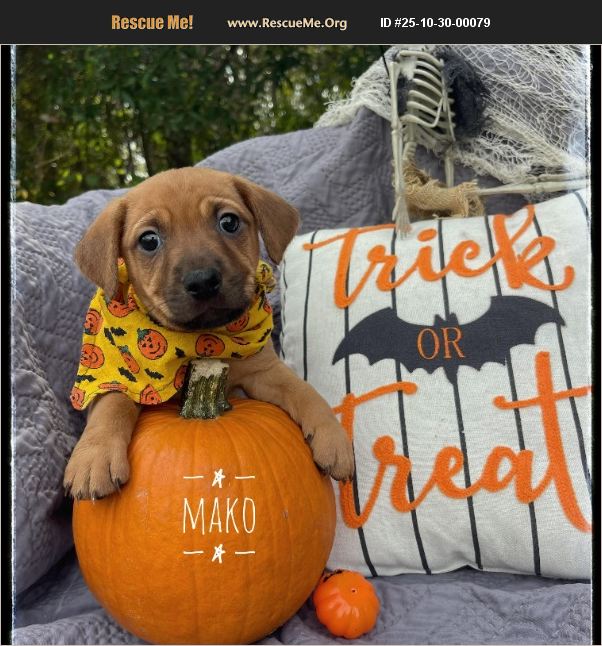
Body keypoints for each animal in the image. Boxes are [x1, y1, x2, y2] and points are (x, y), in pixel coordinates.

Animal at [64, 167, 355, 499]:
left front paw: (333, 436)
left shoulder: (264, 371)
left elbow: (304, 391)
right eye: (149, 240)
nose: (202, 281)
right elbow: (113, 404)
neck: (199, 340)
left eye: (229, 222)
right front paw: (94, 456)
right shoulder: (118, 376)